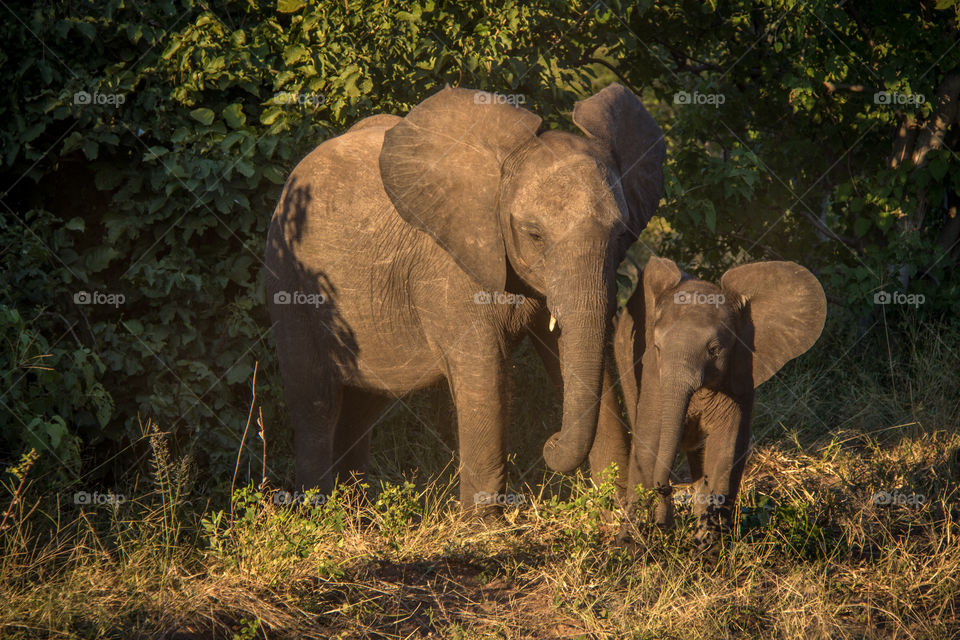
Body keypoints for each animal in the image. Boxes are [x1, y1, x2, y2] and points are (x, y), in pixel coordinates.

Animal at [265, 83, 666, 509]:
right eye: (535, 235)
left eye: (621, 234)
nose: (550, 443)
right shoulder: (450, 266)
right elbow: (483, 374)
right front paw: (485, 524)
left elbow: (580, 363)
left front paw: (618, 512)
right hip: (290, 277)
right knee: (316, 402)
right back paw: (317, 509)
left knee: (364, 406)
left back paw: (356, 508)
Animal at [594, 256, 826, 544]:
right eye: (657, 348)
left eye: (715, 350)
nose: (665, 487)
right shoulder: (651, 375)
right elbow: (649, 438)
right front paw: (633, 544)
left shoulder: (740, 373)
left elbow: (727, 446)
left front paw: (709, 547)